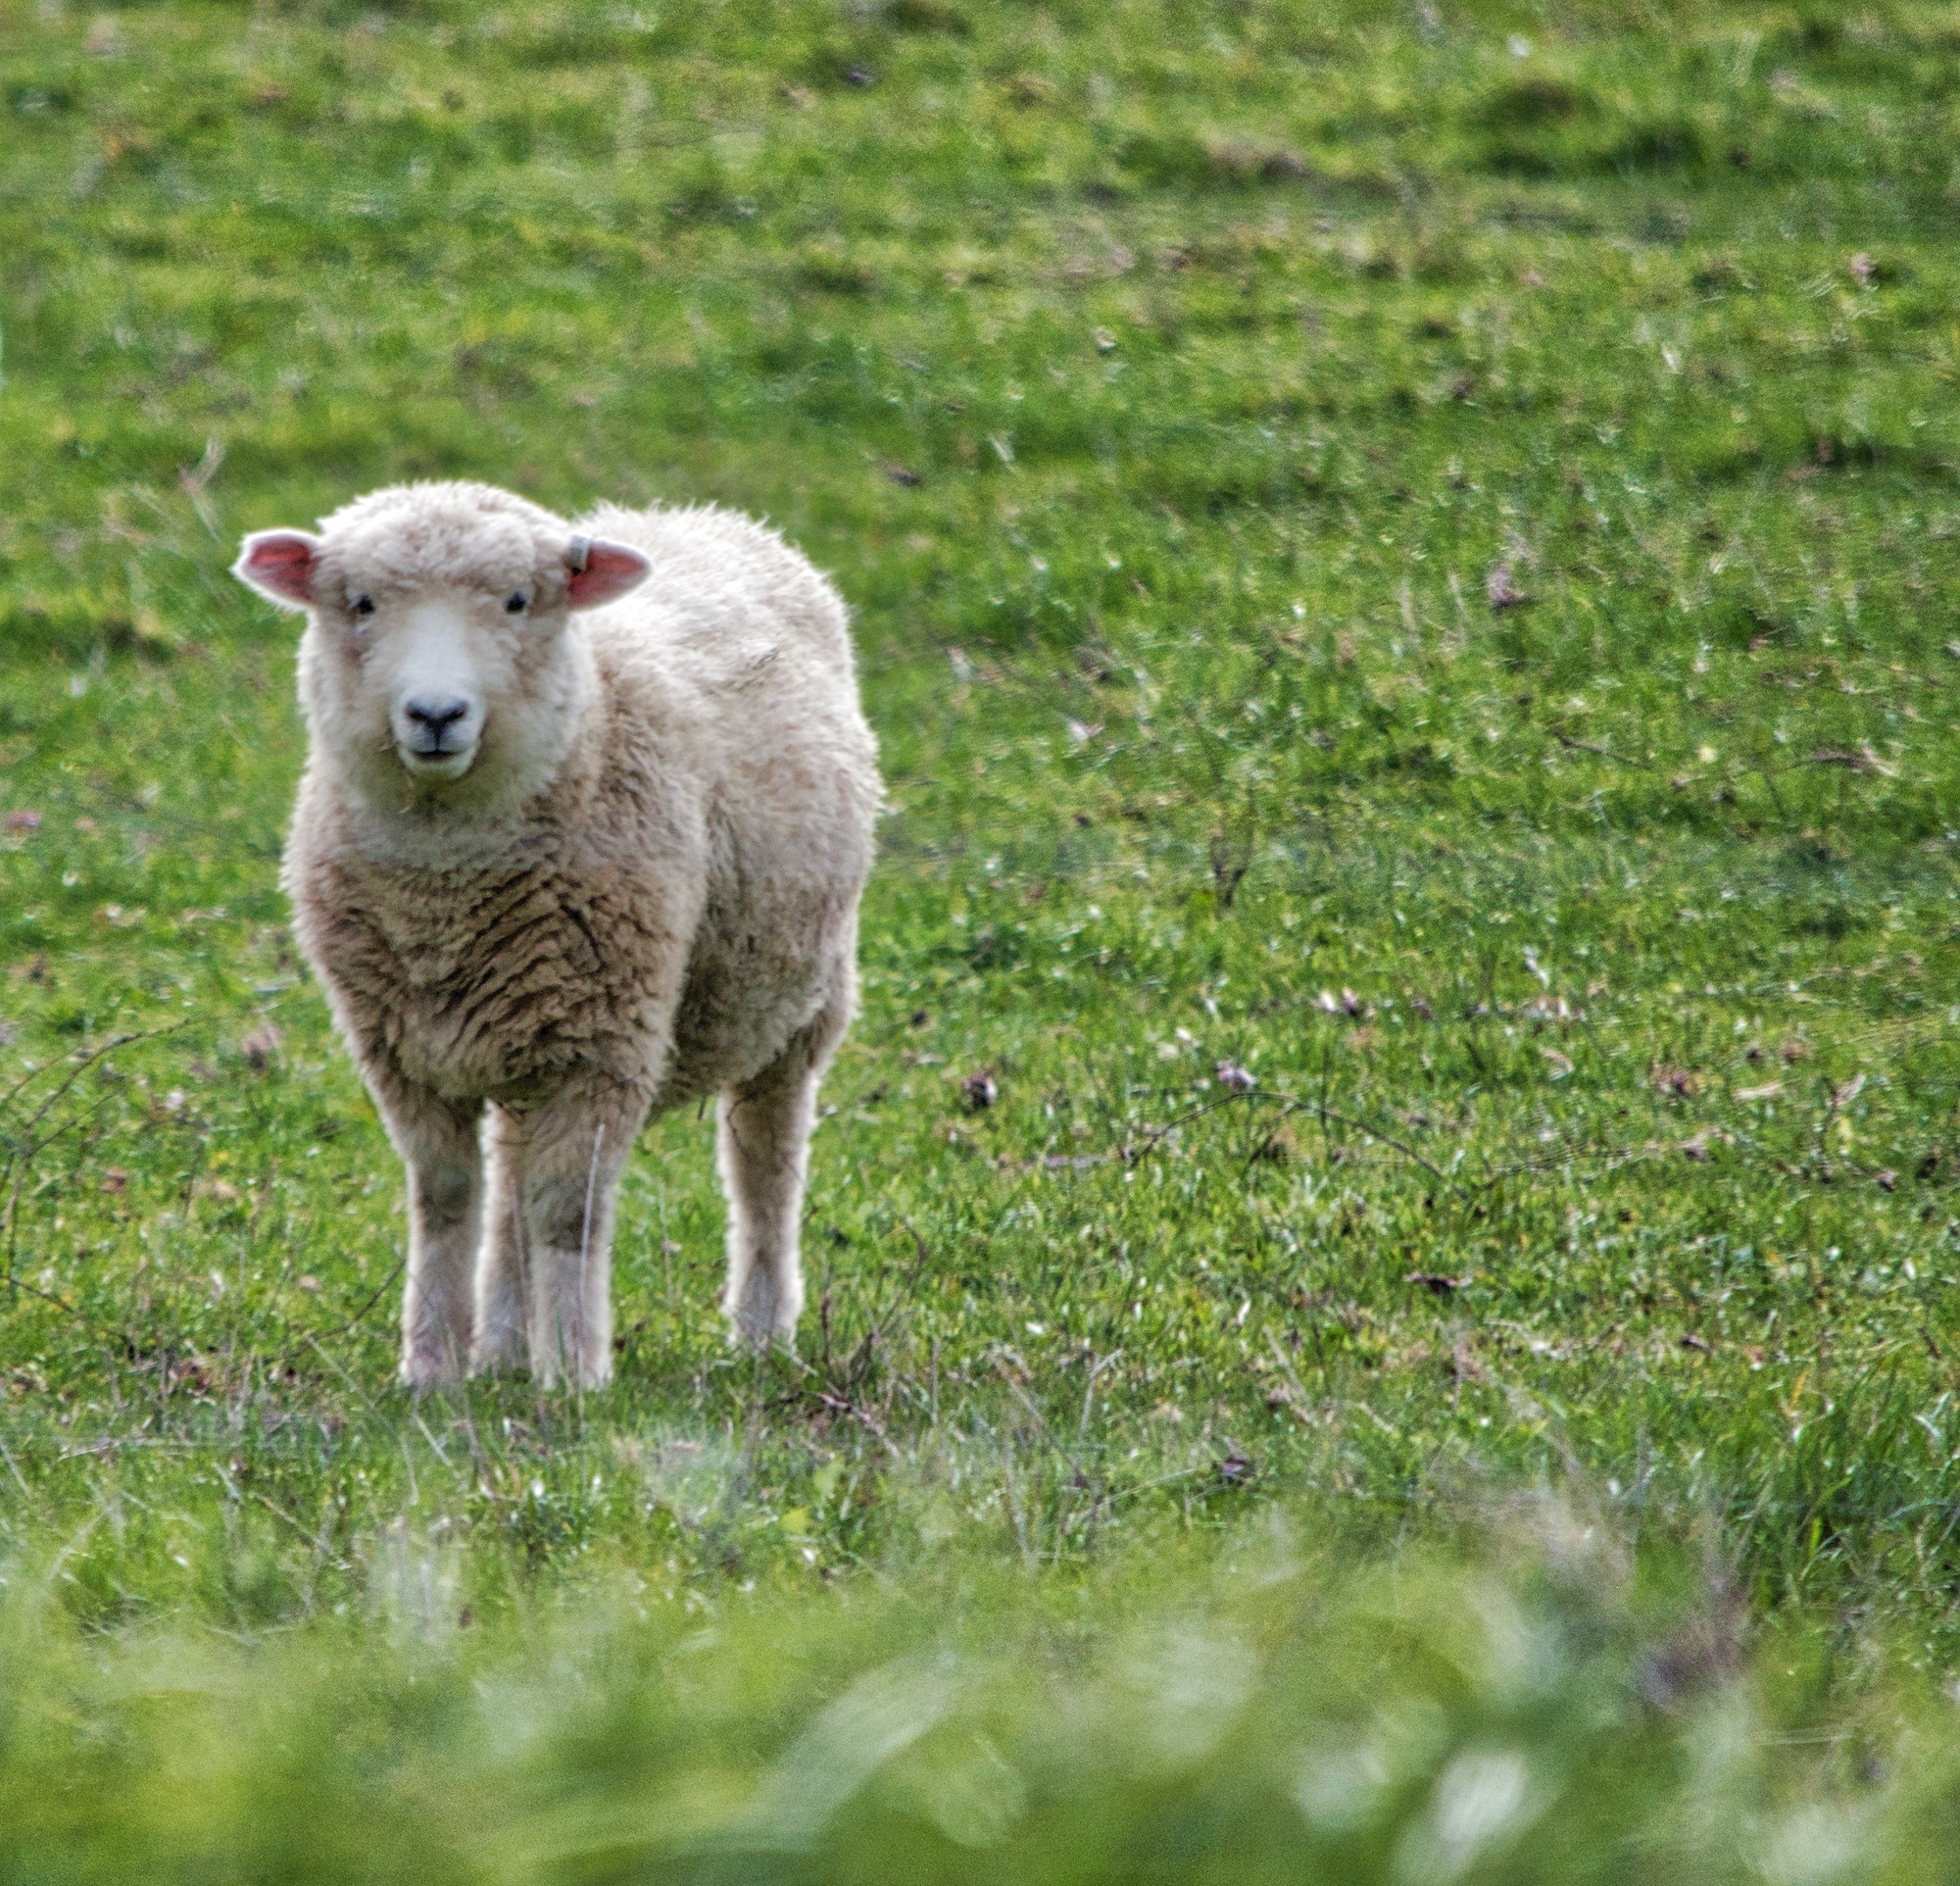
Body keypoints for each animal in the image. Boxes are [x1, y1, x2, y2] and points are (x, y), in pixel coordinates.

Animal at [229, 478, 882, 1380]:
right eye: (360, 604)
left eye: (517, 601)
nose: (436, 713)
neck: (446, 888)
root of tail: (699, 515)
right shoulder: (402, 1048)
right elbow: (446, 1200)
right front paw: (431, 1369)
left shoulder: (602, 1043)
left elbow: (568, 1212)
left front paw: (574, 1374)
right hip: (514, 1027)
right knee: (511, 1182)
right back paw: (504, 1348)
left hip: (800, 1001)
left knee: (765, 1168)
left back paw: (758, 1336)